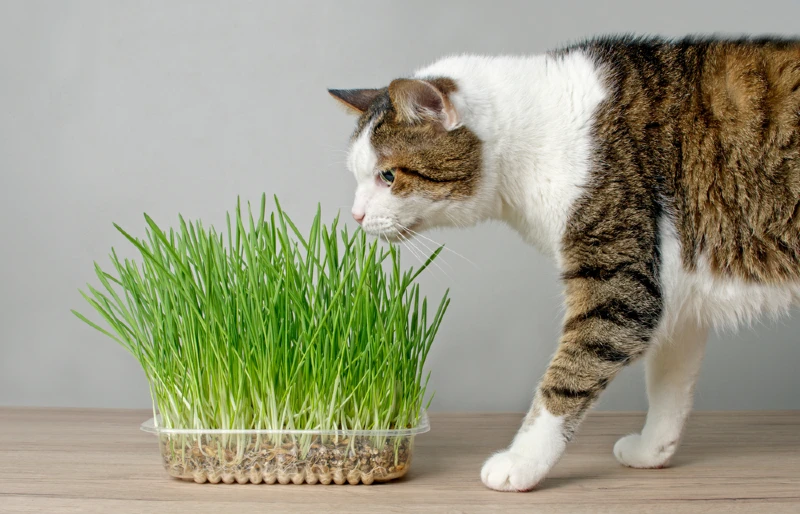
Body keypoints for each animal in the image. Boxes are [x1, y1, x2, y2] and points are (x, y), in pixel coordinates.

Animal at [326, 34, 800, 490]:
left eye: (388, 176)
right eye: (357, 176)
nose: (356, 215)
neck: (530, 138)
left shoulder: (619, 284)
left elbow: (566, 380)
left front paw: (521, 463)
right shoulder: (675, 286)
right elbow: (669, 384)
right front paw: (653, 451)